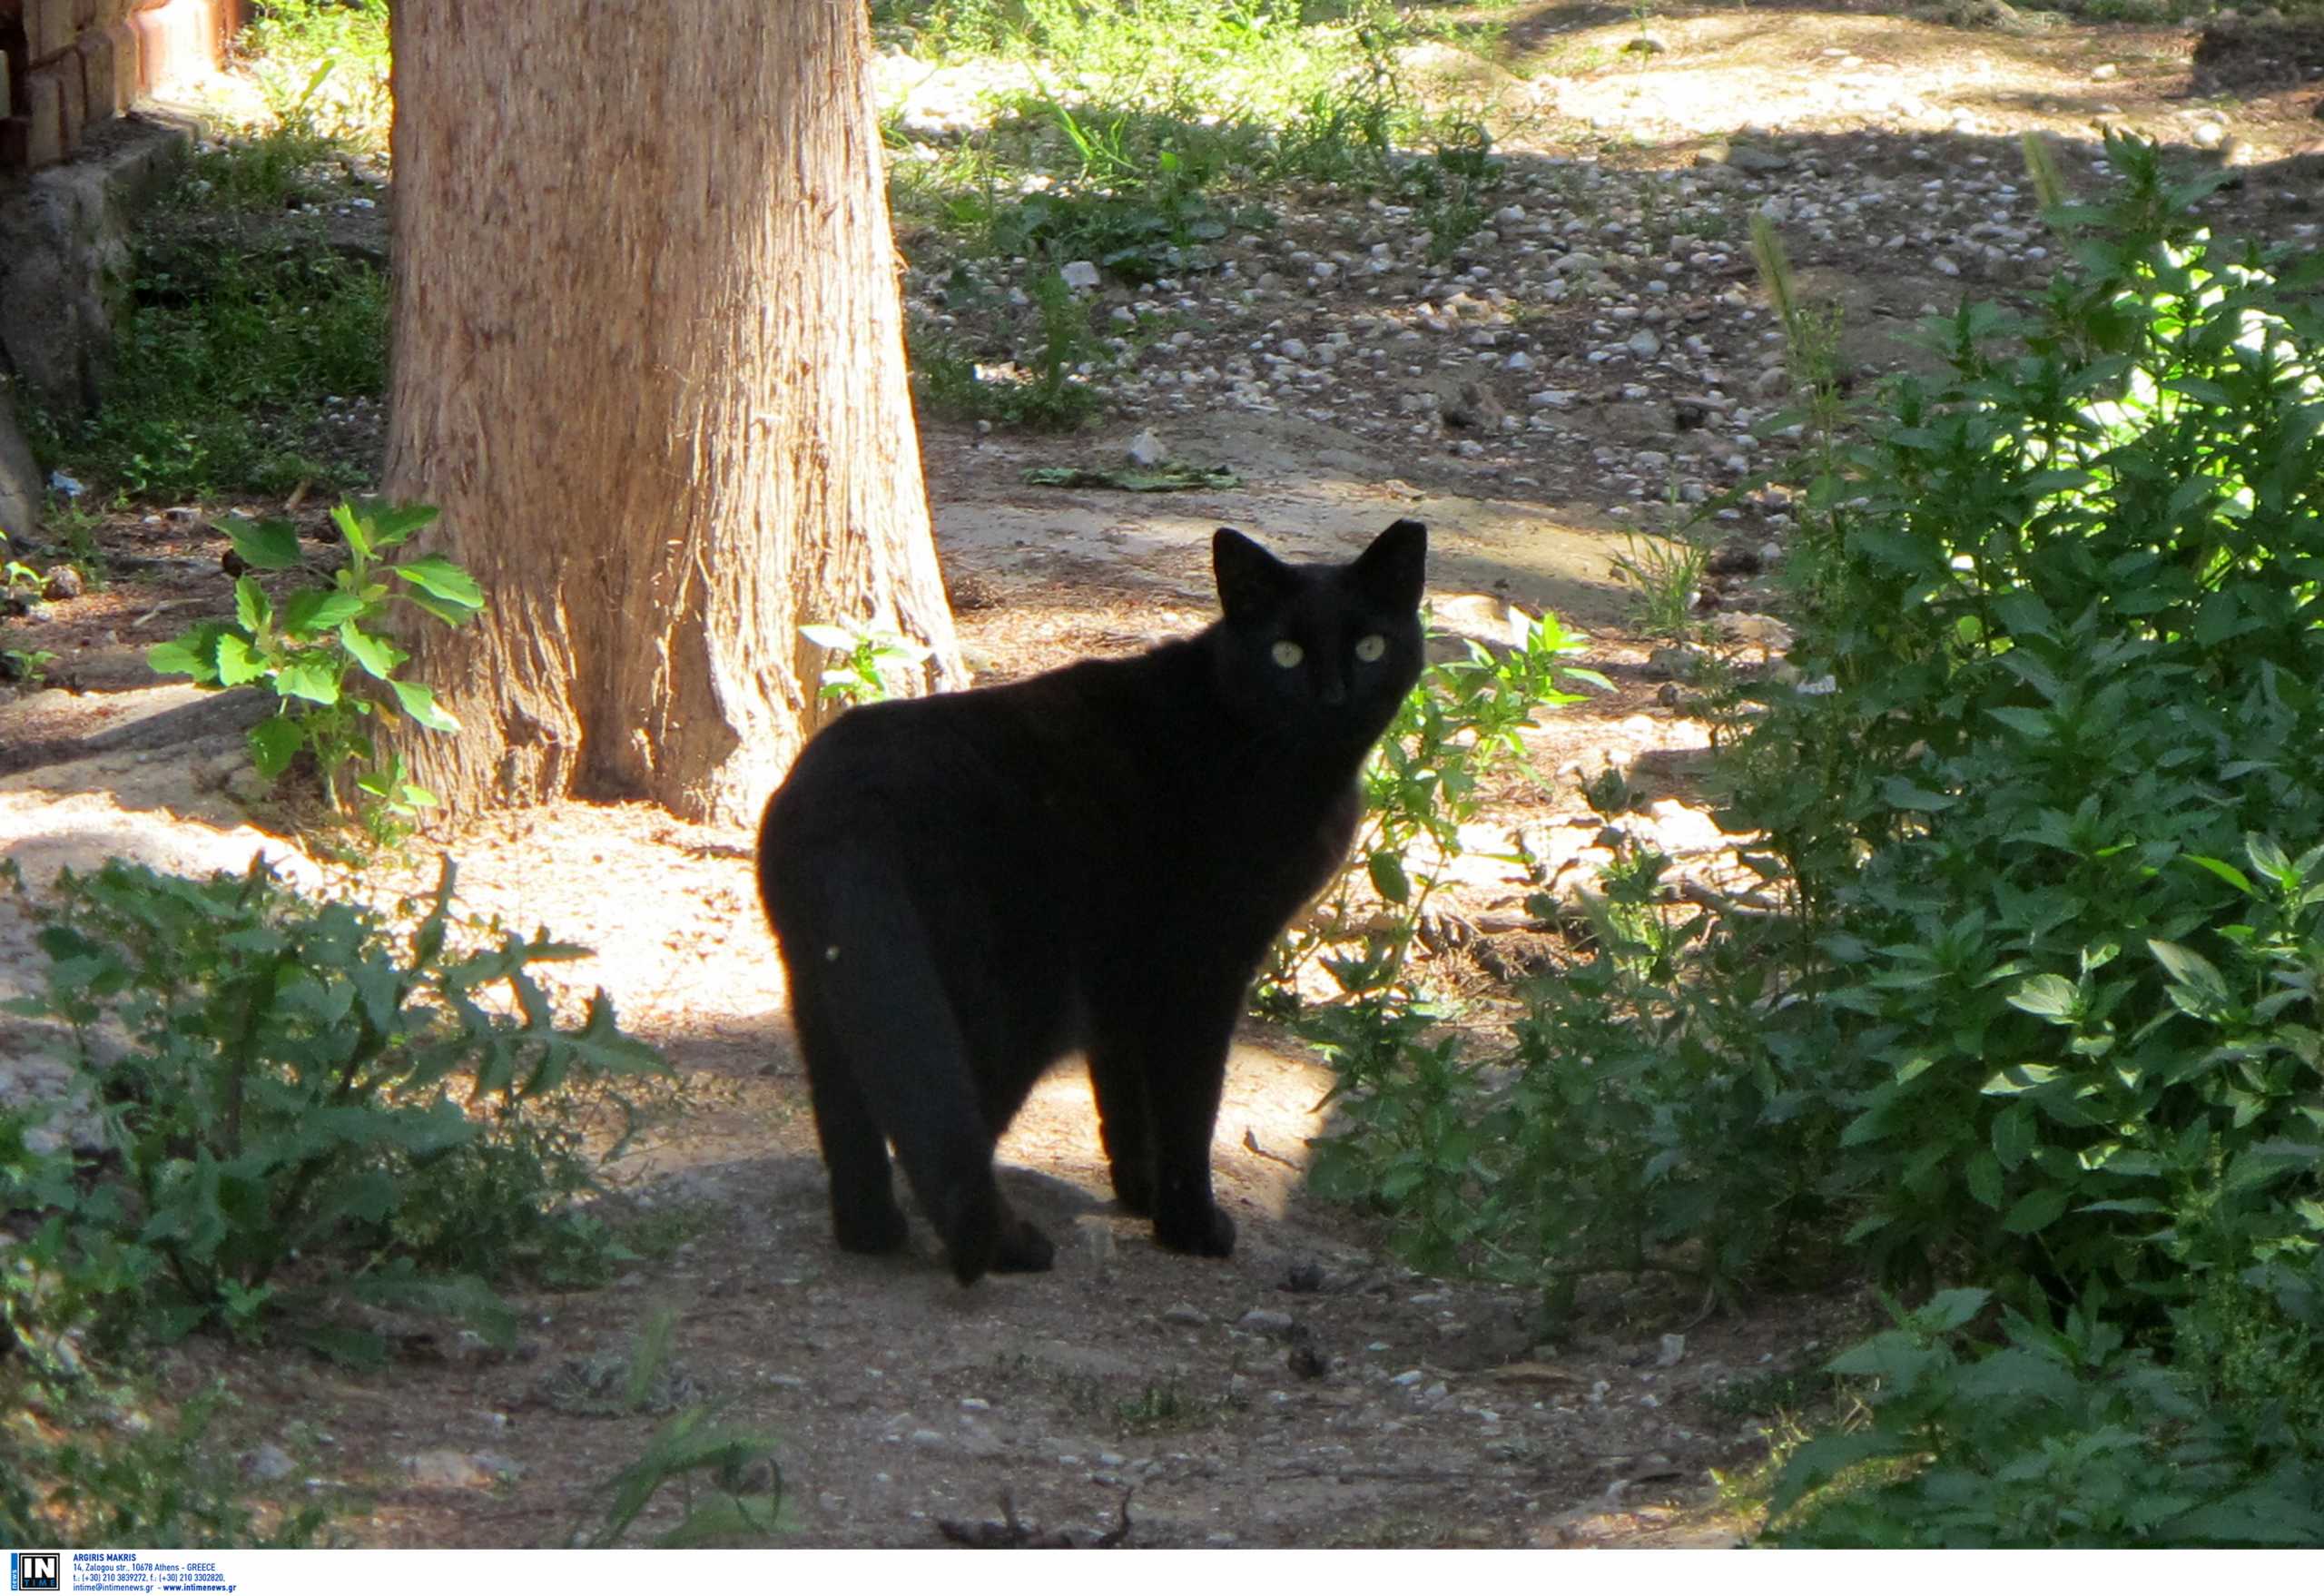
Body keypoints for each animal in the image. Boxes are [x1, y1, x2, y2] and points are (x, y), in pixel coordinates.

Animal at [753, 525, 1422, 1282]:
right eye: (1286, 653)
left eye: (1370, 647)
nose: (1334, 696)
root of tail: (847, 805)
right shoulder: (1202, 968)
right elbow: (1189, 1108)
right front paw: (1188, 1224)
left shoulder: (1122, 969)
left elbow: (1124, 1093)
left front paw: (1138, 1190)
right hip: (1006, 1005)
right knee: (947, 1139)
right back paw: (1007, 1247)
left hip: (831, 984)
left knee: (854, 1118)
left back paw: (873, 1232)